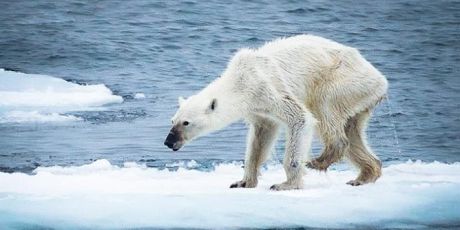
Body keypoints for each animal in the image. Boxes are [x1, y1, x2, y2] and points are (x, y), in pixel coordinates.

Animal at [164, 34, 388, 190]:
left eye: (186, 123)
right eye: (172, 120)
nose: (168, 141)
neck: (240, 80)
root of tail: (380, 79)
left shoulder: (267, 88)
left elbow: (300, 118)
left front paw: (286, 184)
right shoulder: (257, 109)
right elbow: (260, 137)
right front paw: (243, 182)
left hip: (342, 80)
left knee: (325, 109)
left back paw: (319, 160)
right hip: (359, 97)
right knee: (353, 131)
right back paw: (364, 175)